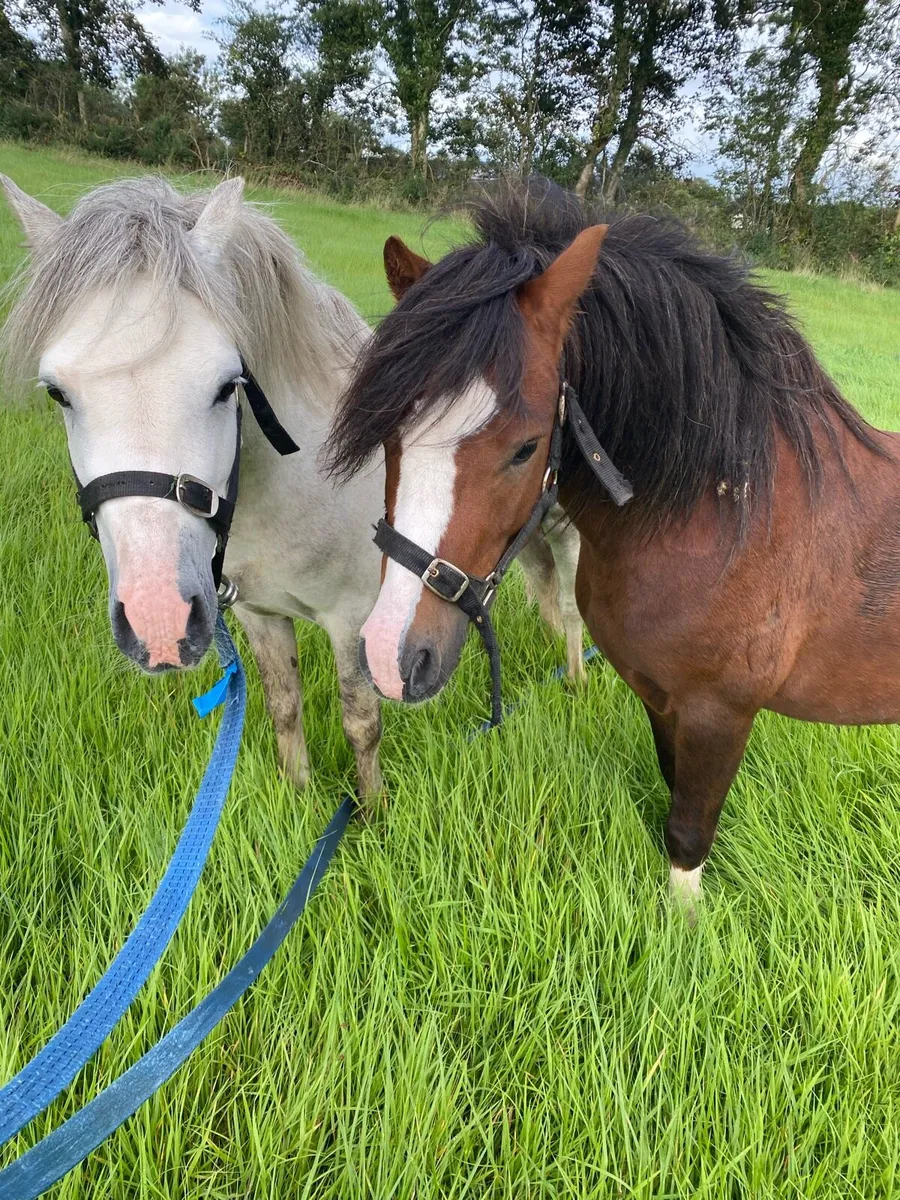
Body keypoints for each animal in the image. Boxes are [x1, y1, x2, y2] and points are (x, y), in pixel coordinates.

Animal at [0, 174, 583, 800]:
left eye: (226, 385)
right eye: (58, 393)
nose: (159, 623)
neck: (294, 493)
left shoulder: (354, 620)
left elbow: (361, 722)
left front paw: (371, 810)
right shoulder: (259, 615)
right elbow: (284, 706)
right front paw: (298, 794)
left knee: (572, 605)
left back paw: (574, 678)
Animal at [325, 177, 900, 905]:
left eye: (525, 448)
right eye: (390, 435)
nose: (391, 657)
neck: (728, 518)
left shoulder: (719, 714)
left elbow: (688, 836)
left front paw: (679, 928)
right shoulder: (661, 699)